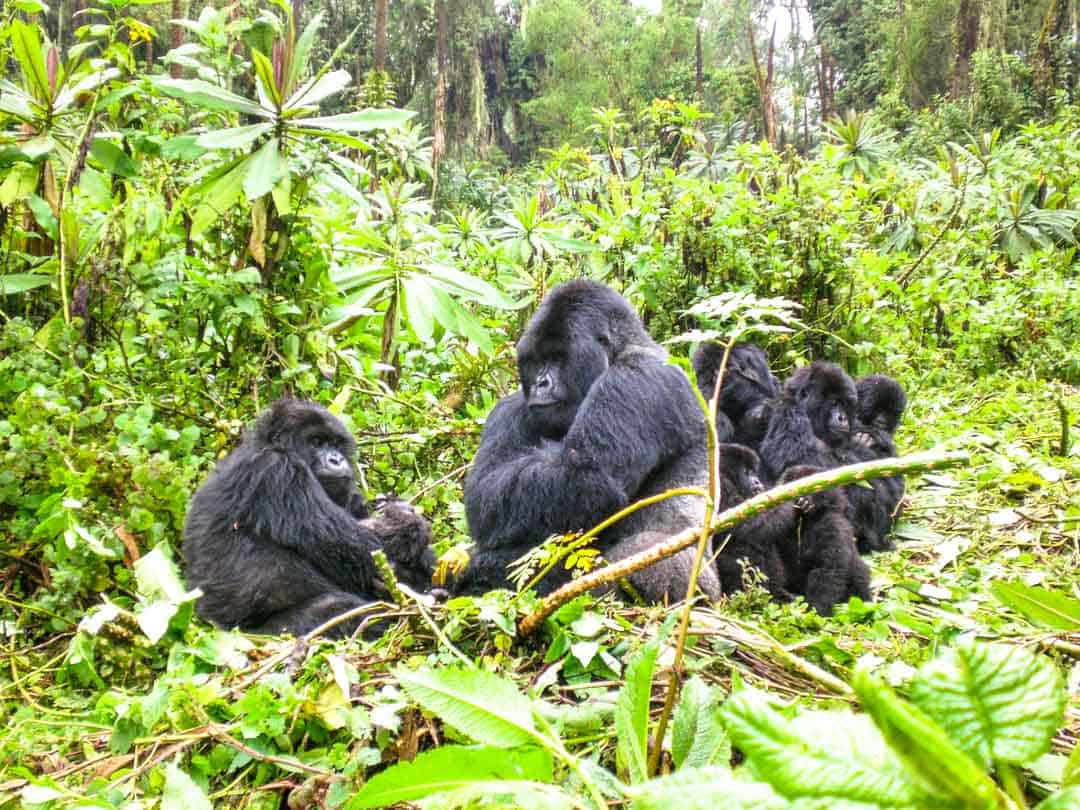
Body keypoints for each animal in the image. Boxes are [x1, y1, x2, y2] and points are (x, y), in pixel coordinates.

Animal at [183, 399, 432, 639]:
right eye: (316, 442)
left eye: (335, 444)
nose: (336, 459)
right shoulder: (277, 470)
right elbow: (357, 548)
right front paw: (407, 524)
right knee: (339, 609)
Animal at [455, 278, 717, 604]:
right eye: (537, 361)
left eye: (557, 358)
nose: (541, 383)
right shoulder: (510, 408)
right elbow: (486, 490)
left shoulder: (637, 377)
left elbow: (585, 478)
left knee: (640, 550)